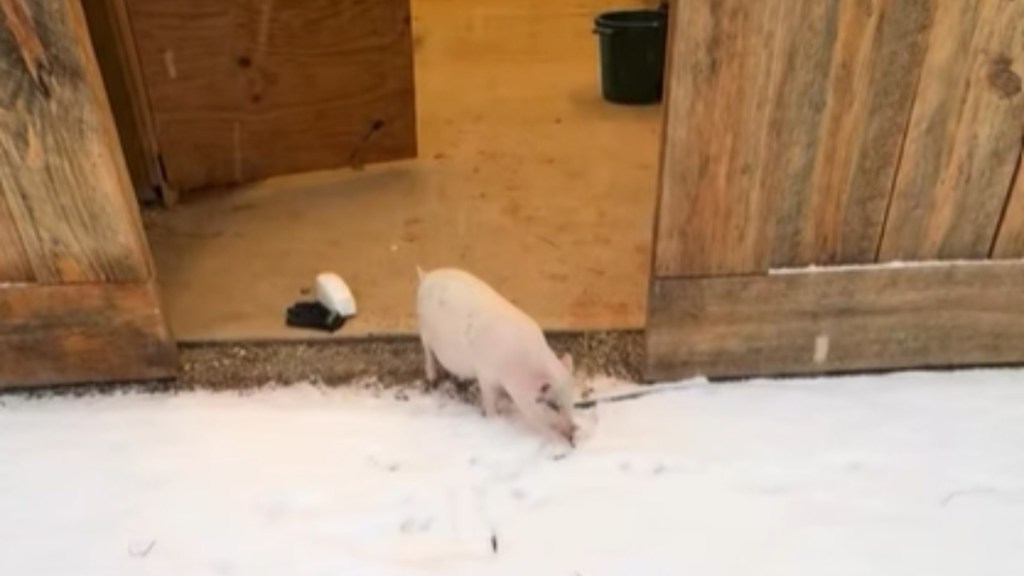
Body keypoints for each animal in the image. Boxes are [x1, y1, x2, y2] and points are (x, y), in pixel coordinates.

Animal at [413, 266, 577, 440]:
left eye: (571, 400)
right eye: (553, 405)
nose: (572, 432)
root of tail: (427, 276)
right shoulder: (486, 375)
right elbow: (490, 401)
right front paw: (494, 418)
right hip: (423, 329)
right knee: (428, 352)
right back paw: (432, 377)